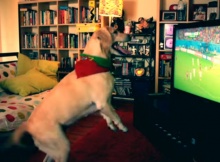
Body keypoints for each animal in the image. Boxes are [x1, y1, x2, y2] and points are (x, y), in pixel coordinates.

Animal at [11, 26, 131, 162]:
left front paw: (112, 126)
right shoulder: (103, 103)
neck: (96, 62)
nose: (130, 35)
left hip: (54, 147)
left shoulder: (103, 104)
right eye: (115, 32)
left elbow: (108, 116)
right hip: (62, 146)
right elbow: (116, 116)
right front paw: (123, 127)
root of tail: (28, 125)